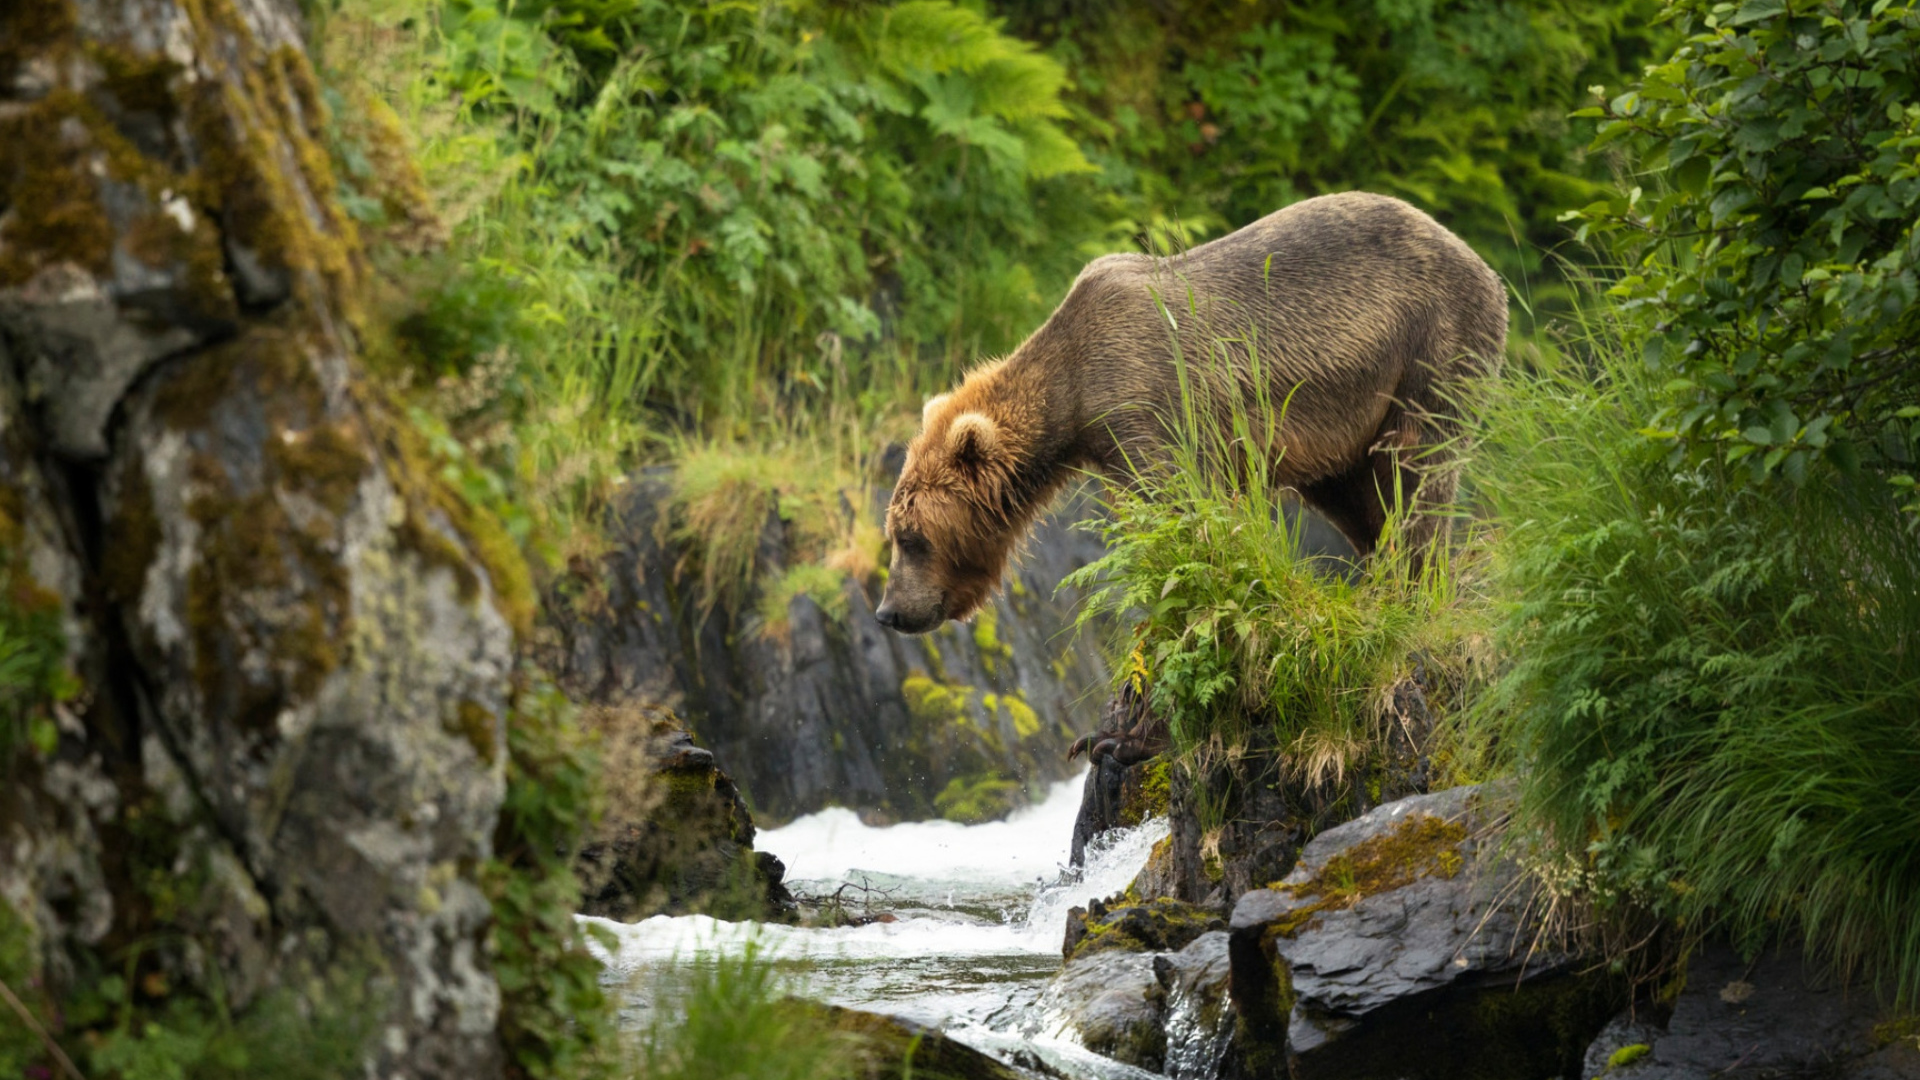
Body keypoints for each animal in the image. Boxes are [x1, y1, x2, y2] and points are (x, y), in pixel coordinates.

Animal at [875, 191, 1512, 630]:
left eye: (911, 537)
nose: (889, 611)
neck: (1073, 394)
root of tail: (1482, 262)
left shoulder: (1145, 401)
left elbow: (1182, 510)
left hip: (1430, 342)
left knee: (1417, 468)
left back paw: (1419, 584)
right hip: (1351, 414)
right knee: (1357, 495)